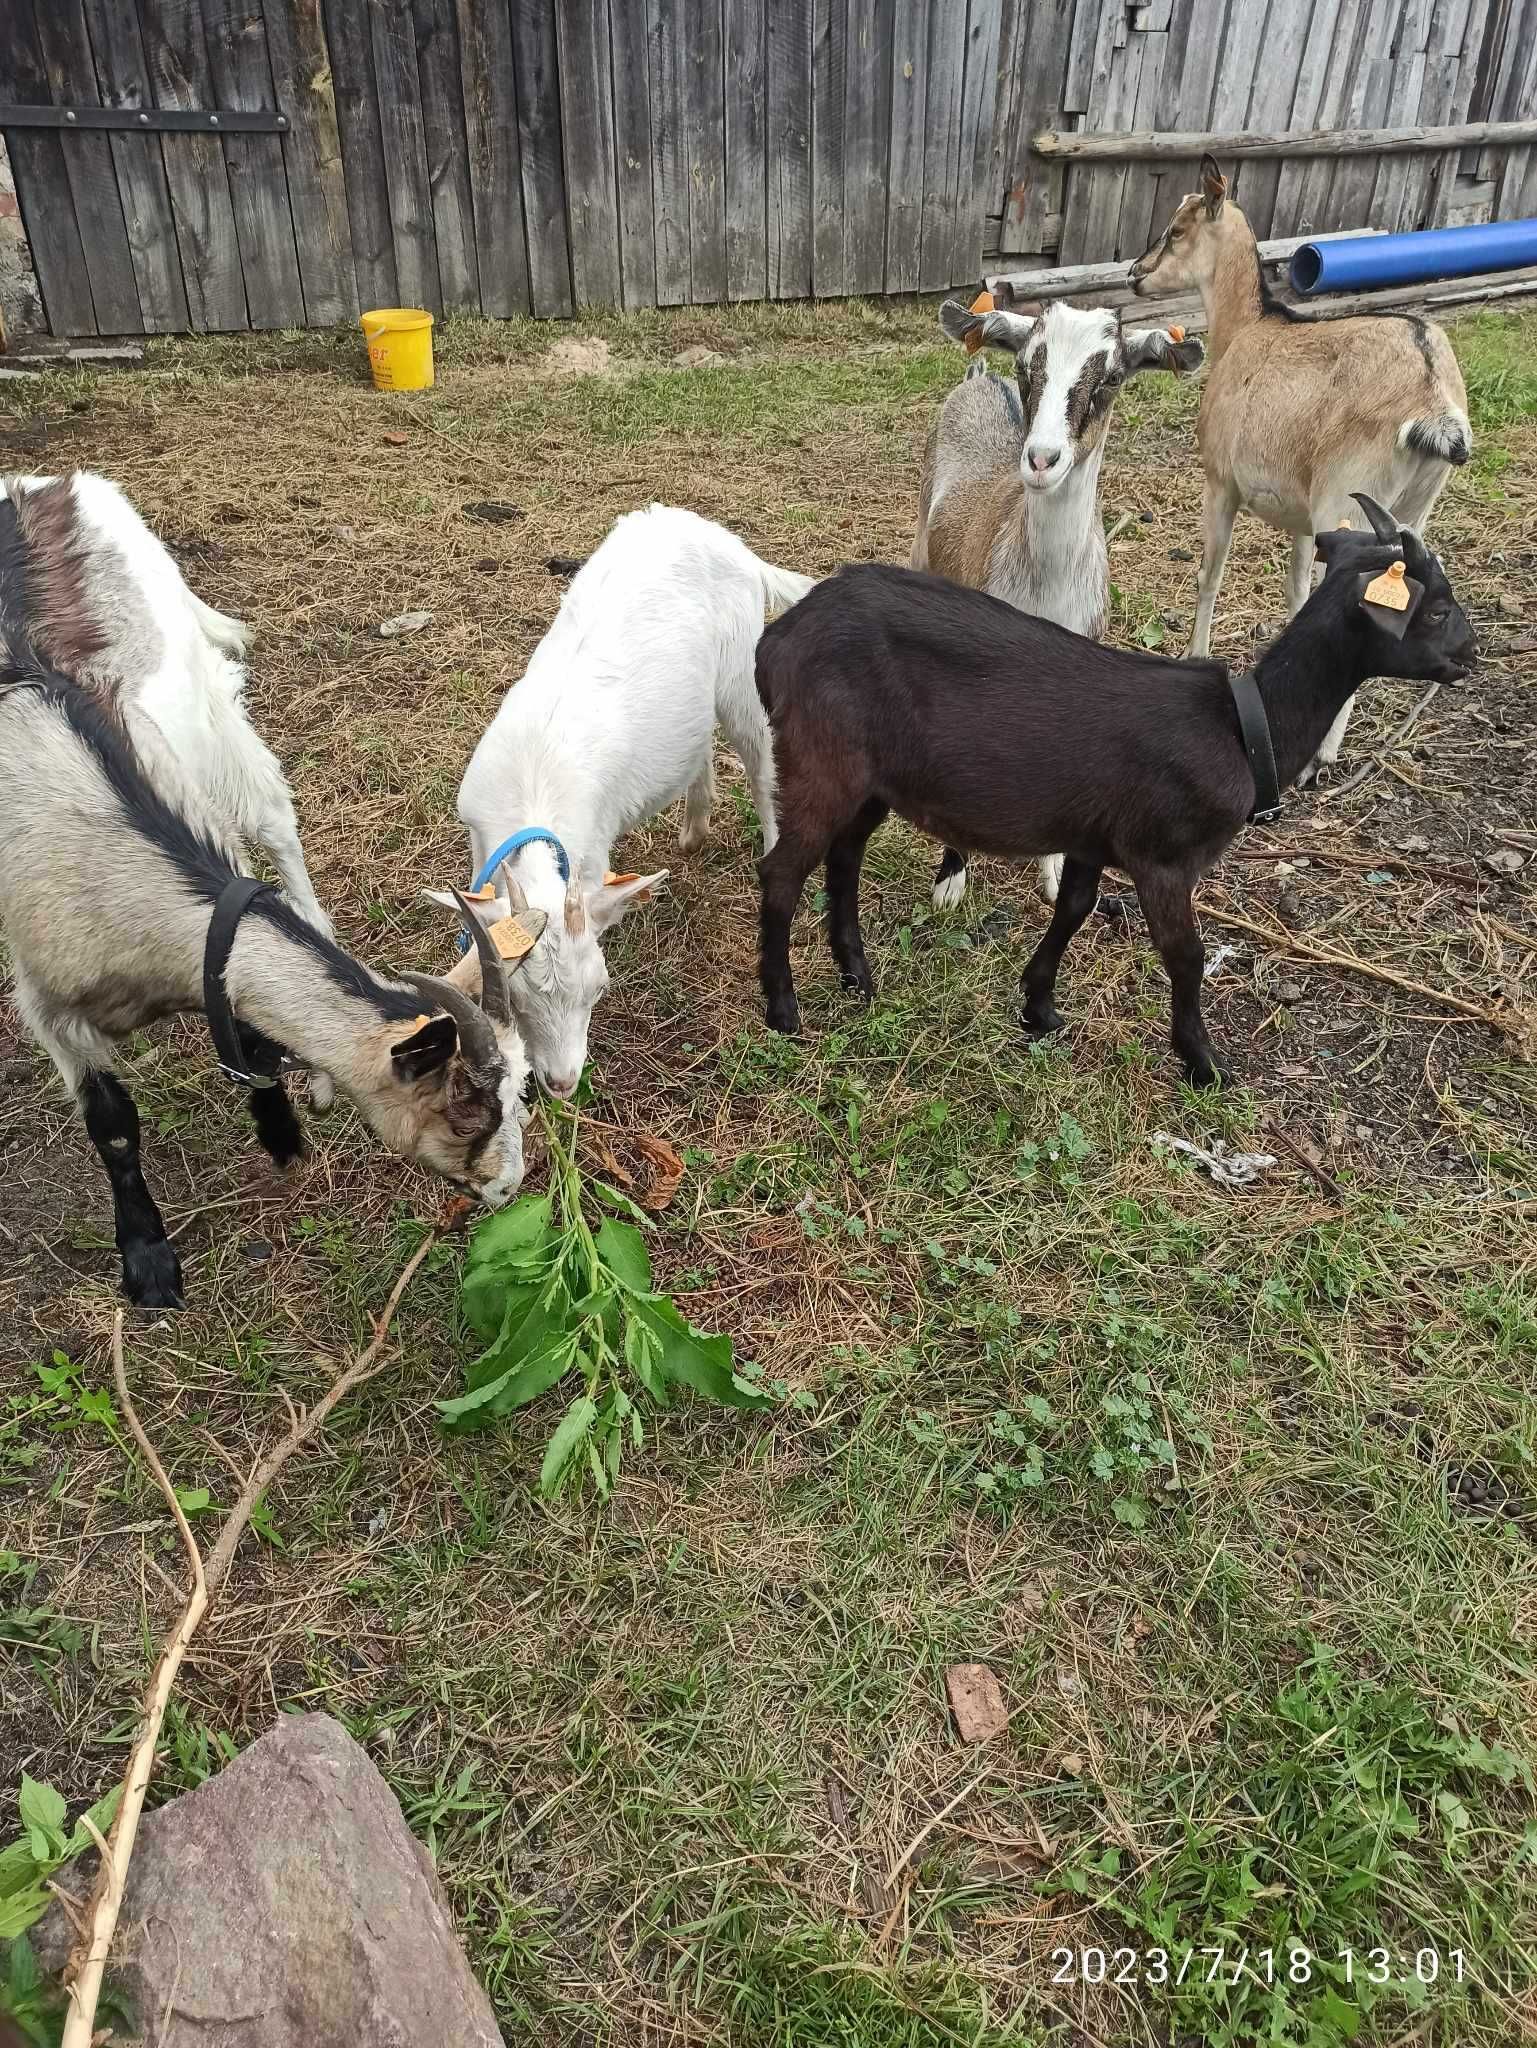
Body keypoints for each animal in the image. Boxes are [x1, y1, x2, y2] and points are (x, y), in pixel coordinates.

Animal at [0, 477, 545, 1302]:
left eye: (521, 1090)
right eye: (464, 1106)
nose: (508, 1186)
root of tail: (43, 484)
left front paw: (283, 1128)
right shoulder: (49, 1005)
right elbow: (114, 1124)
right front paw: (148, 1263)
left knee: (278, 824)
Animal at [758, 495, 1483, 1089]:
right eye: (1435, 609)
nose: (1471, 655)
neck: (1244, 728)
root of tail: (777, 642)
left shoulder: (1091, 836)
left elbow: (1073, 910)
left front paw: (1039, 1007)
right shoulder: (1164, 856)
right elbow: (1186, 956)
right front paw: (1202, 1063)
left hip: (870, 780)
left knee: (844, 858)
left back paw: (856, 976)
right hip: (821, 759)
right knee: (781, 873)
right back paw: (783, 1010)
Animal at [914, 284, 1205, 901]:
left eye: (1112, 376)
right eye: (1027, 366)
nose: (1042, 459)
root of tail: (978, 375)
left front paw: (1054, 874)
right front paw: (952, 875)